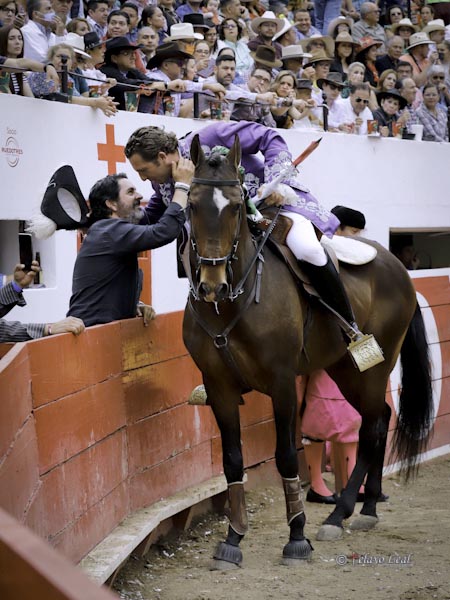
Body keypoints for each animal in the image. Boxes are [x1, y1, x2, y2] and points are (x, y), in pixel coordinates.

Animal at [182, 135, 432, 568]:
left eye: (235, 206)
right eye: (192, 204)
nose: (212, 283)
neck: (234, 302)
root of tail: (396, 264)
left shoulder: (282, 383)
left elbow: (286, 456)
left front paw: (296, 537)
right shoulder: (219, 388)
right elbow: (232, 461)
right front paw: (233, 539)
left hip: (372, 368)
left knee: (371, 426)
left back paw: (339, 513)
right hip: (344, 369)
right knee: (381, 418)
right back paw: (366, 508)